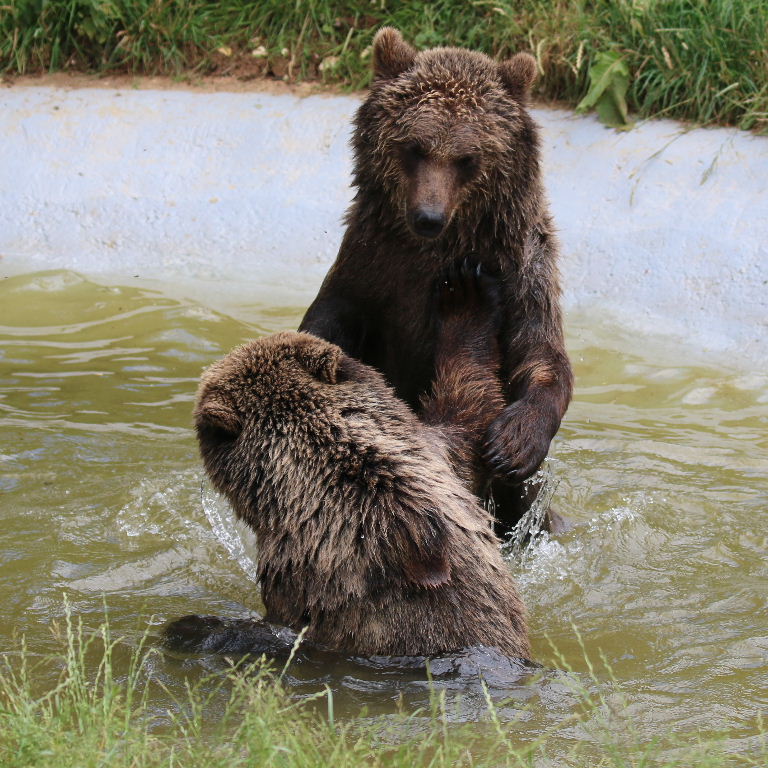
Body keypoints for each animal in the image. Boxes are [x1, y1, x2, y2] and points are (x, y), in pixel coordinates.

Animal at [298, 30, 568, 536]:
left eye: (467, 158)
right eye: (414, 147)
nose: (428, 216)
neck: (437, 251)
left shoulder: (521, 270)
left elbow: (540, 356)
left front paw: (514, 441)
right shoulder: (372, 261)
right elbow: (333, 313)